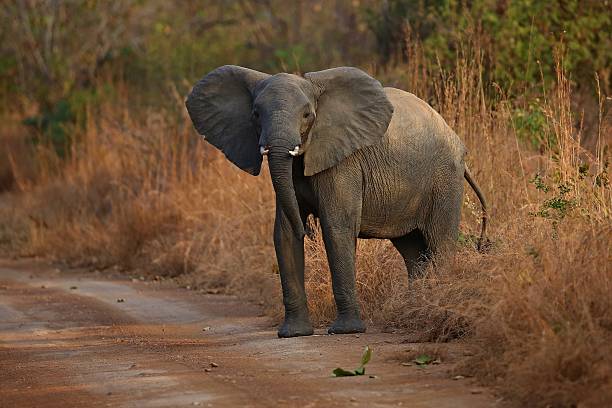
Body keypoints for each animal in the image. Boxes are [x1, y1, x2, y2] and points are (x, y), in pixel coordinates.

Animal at [184, 64, 486, 338]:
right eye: (256, 115)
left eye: (307, 115)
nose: (308, 229)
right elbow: (284, 233)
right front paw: (293, 334)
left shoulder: (343, 162)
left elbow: (336, 228)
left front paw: (346, 331)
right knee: (413, 251)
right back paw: (413, 311)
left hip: (445, 178)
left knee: (440, 242)